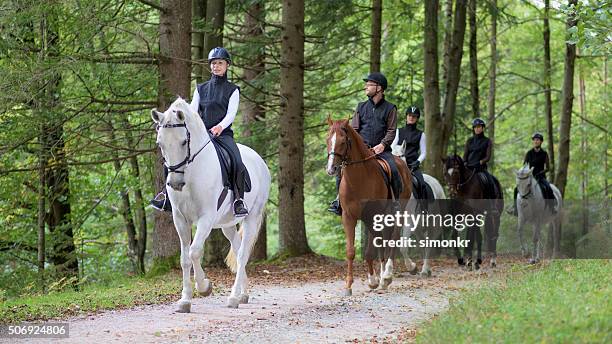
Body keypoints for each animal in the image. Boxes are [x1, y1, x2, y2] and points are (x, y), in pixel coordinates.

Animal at [151, 97, 270, 312]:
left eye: (184, 141)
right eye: (160, 143)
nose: (175, 183)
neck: (191, 173)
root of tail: (260, 161)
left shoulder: (205, 218)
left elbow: (195, 251)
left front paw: (204, 287)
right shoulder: (180, 219)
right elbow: (184, 258)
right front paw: (185, 300)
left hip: (252, 217)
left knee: (243, 254)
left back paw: (233, 298)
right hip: (227, 224)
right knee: (238, 249)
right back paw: (243, 294)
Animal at [326, 117, 412, 296]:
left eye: (343, 141)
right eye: (327, 140)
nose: (331, 169)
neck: (358, 179)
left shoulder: (372, 216)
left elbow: (371, 249)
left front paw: (376, 280)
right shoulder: (349, 217)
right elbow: (352, 251)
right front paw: (350, 285)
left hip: (397, 212)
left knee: (393, 238)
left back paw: (387, 275)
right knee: (383, 242)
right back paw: (382, 277)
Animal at [392, 140, 444, 276]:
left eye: (401, 156)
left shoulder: (408, 222)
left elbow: (403, 247)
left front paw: (412, 267)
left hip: (433, 224)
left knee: (430, 242)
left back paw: (425, 270)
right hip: (418, 228)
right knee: (423, 242)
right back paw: (427, 269)